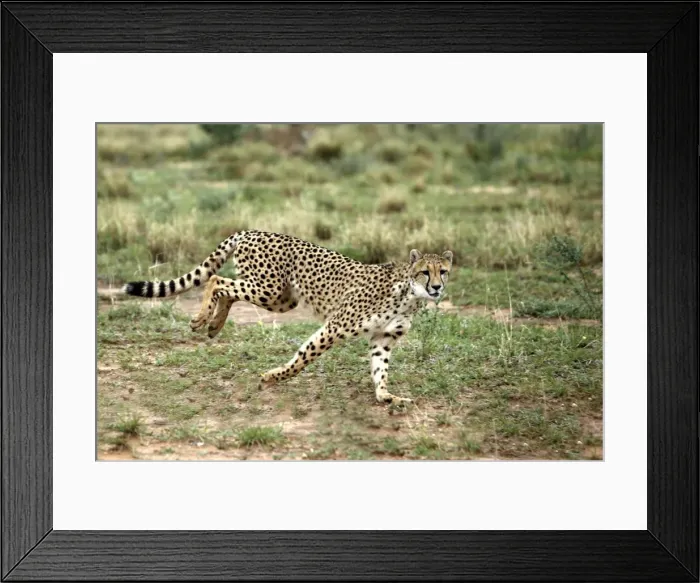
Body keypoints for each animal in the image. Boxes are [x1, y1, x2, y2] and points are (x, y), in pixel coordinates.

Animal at [123, 229, 453, 406]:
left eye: (444, 271)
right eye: (425, 272)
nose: (437, 287)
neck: (410, 295)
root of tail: (252, 230)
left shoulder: (383, 337)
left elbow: (380, 369)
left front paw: (386, 396)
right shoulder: (336, 326)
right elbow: (305, 355)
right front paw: (274, 377)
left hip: (281, 298)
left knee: (227, 289)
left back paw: (214, 325)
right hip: (269, 289)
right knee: (217, 280)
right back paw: (202, 319)